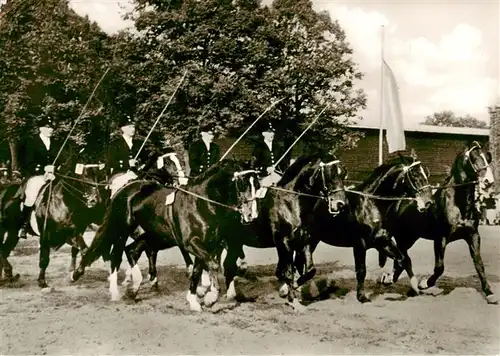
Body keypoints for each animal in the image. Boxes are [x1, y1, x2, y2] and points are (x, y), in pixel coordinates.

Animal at [73, 159, 262, 312]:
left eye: (257, 185)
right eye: (243, 183)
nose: (252, 215)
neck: (202, 204)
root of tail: (126, 187)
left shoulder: (205, 245)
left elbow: (198, 270)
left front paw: (194, 301)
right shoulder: (190, 243)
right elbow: (214, 266)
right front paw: (210, 297)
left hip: (150, 235)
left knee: (132, 251)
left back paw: (134, 288)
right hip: (122, 229)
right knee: (116, 255)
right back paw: (114, 292)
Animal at [219, 154, 348, 310]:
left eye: (343, 173)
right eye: (330, 173)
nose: (341, 204)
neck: (290, 203)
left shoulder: (304, 241)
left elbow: (309, 270)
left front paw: (293, 289)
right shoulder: (284, 242)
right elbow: (288, 271)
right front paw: (292, 298)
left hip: (235, 242)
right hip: (229, 240)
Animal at [294, 152, 436, 302]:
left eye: (426, 173)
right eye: (414, 174)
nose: (428, 202)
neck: (371, 205)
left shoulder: (383, 242)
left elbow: (403, 260)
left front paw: (413, 287)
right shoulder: (359, 244)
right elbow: (361, 271)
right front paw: (362, 297)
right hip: (310, 238)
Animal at [376, 141, 498, 304]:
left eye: (488, 157)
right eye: (473, 157)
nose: (488, 181)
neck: (457, 204)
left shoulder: (473, 235)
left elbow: (479, 264)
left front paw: (489, 293)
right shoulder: (441, 238)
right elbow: (439, 267)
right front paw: (424, 283)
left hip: (410, 238)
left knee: (402, 259)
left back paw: (400, 284)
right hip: (402, 237)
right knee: (402, 258)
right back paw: (393, 280)